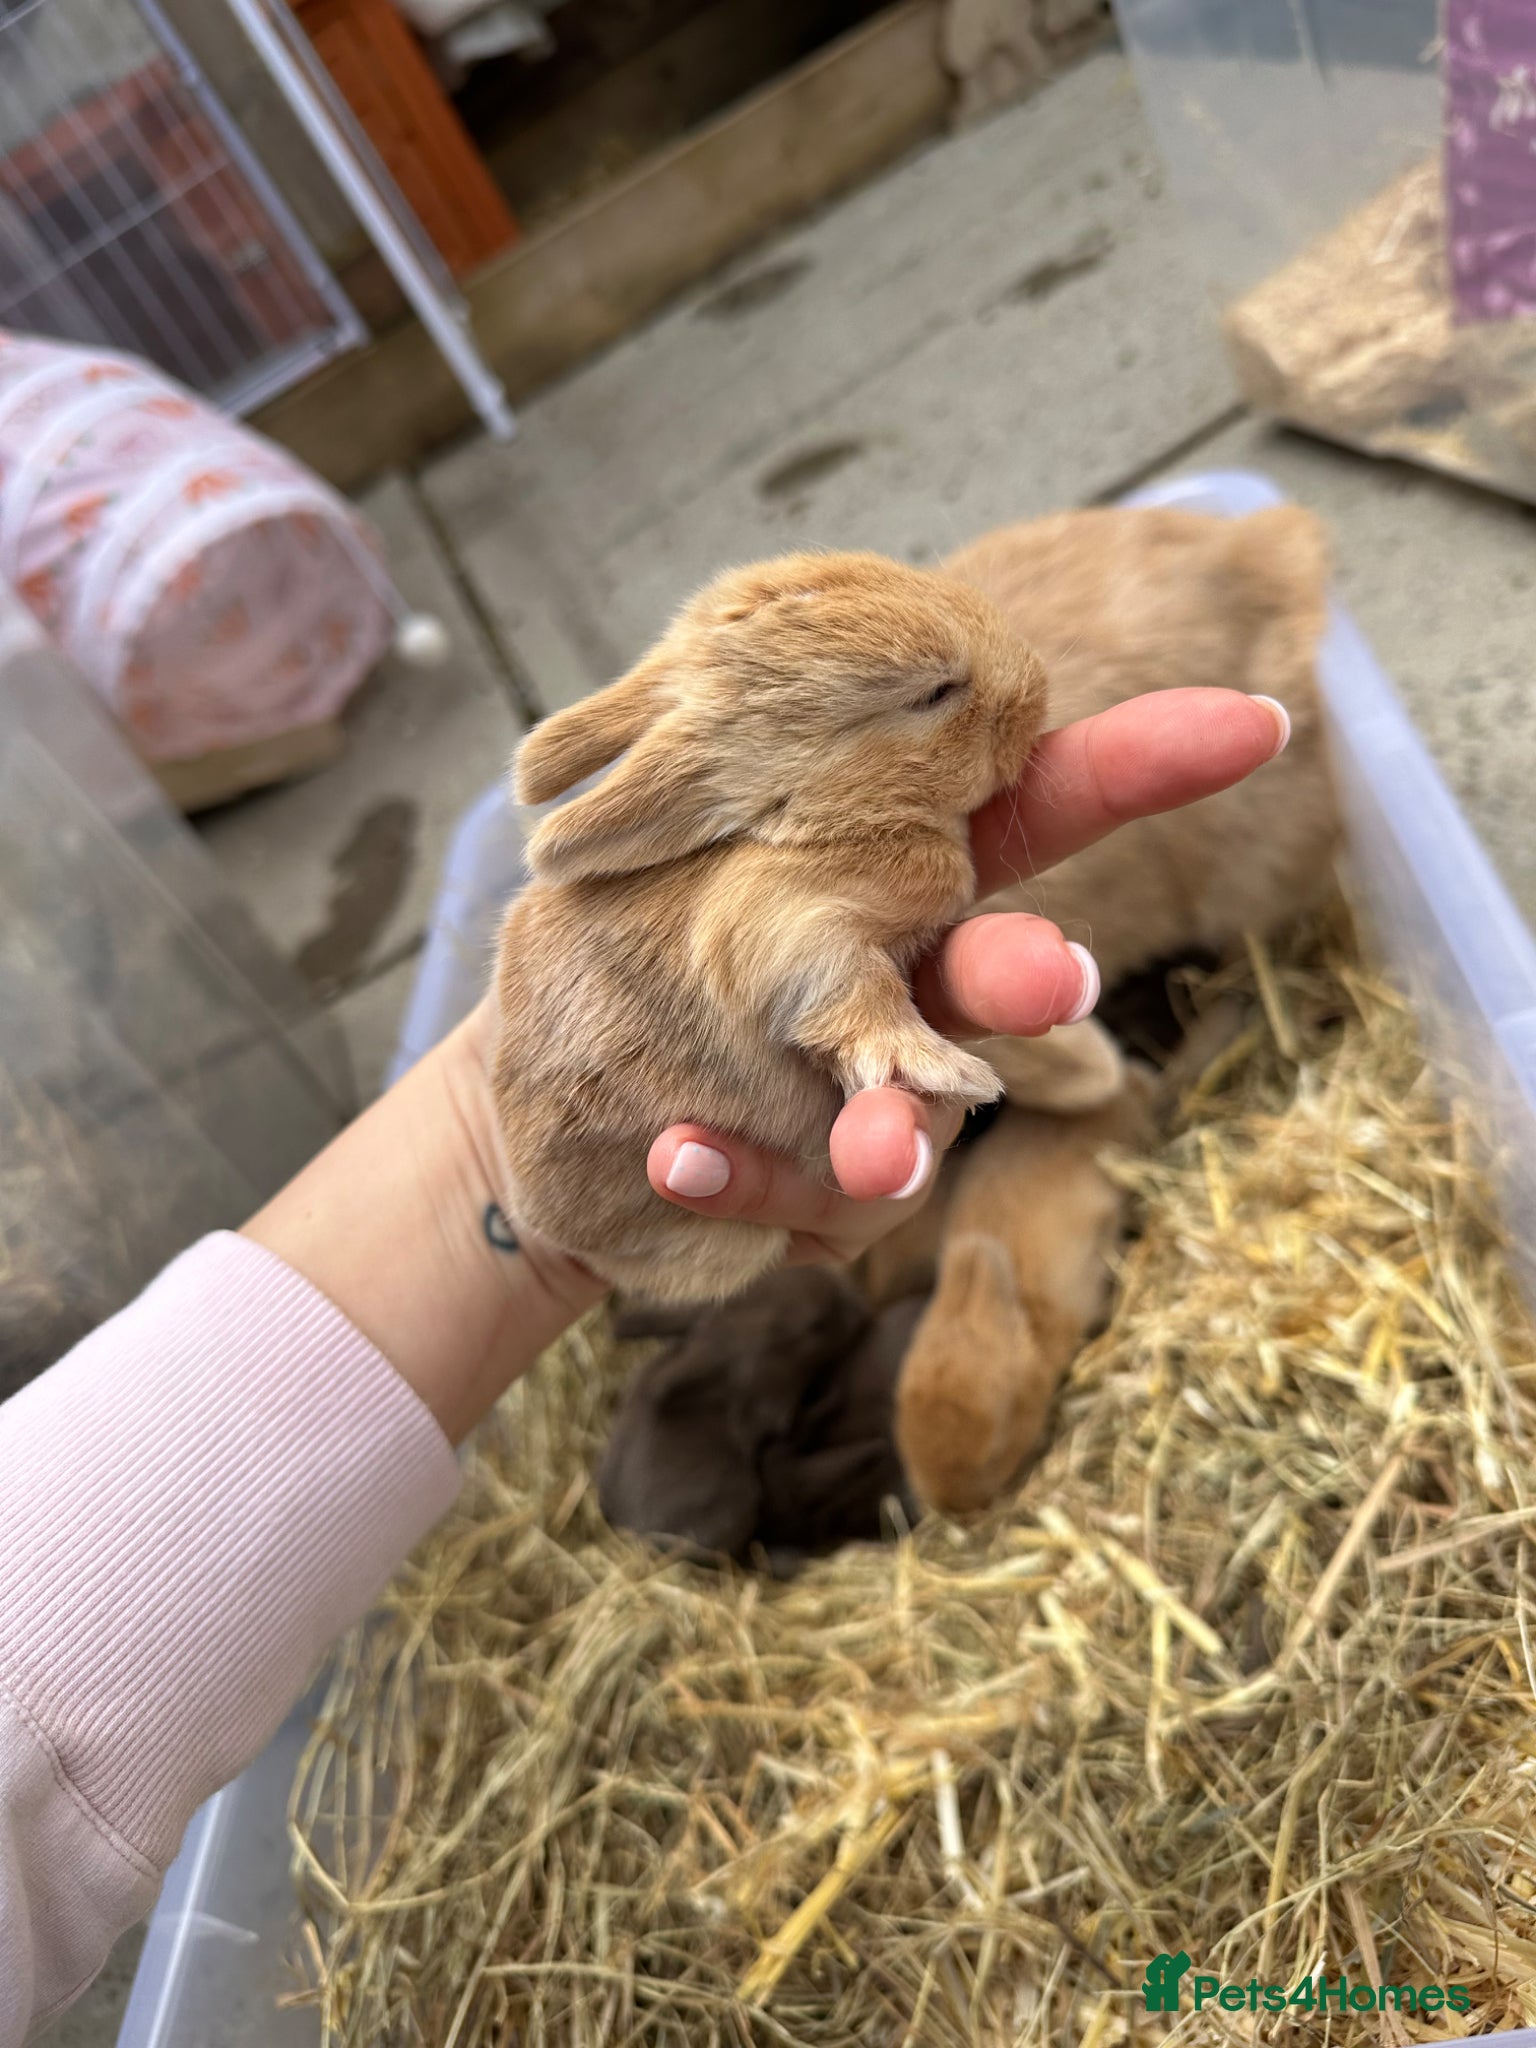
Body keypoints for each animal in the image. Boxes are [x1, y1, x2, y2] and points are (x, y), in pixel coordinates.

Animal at [491, 548, 1051, 1305]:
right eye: (935, 693)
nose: (1038, 687)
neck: (826, 825)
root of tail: (550, 1229)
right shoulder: (791, 936)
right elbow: (857, 1007)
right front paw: (955, 1074)